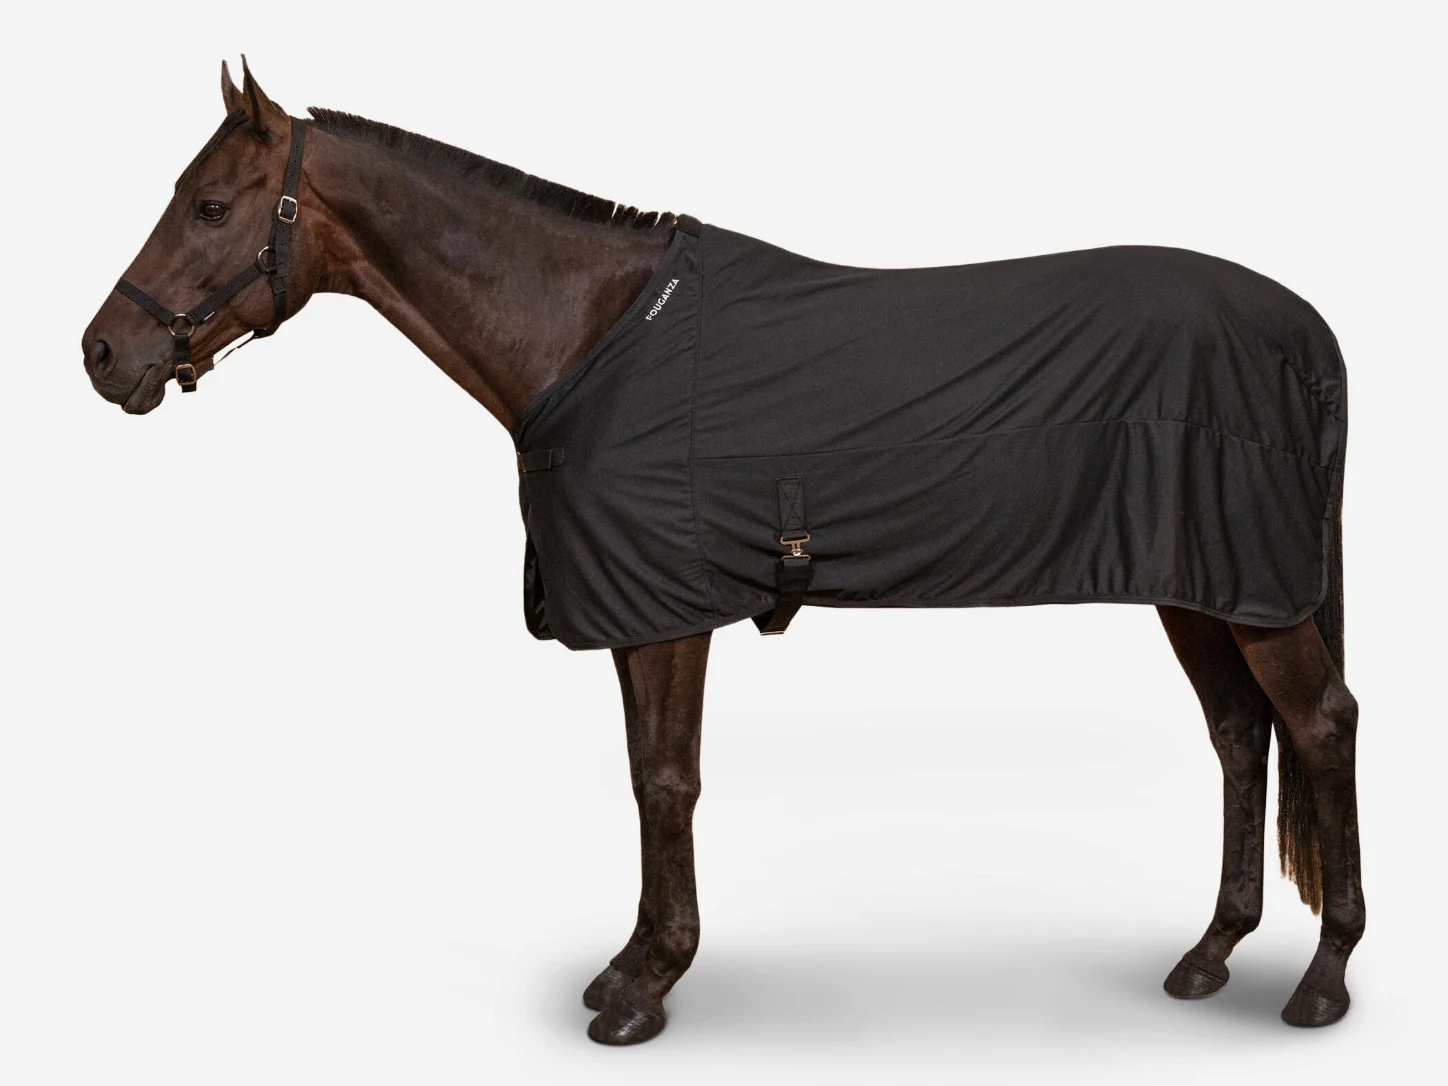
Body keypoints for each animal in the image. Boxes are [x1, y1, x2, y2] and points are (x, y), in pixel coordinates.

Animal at [81, 61, 1364, 1045]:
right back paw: (1207, 955)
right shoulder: (636, 612)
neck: (587, 336)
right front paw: (632, 964)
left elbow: (667, 781)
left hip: (1256, 592)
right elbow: (646, 776)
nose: (101, 355)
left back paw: (1319, 980)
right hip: (1199, 587)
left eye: (209, 205)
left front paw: (644, 989)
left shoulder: (667, 609)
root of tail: (1303, 330)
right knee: (1239, 735)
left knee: (1316, 726)